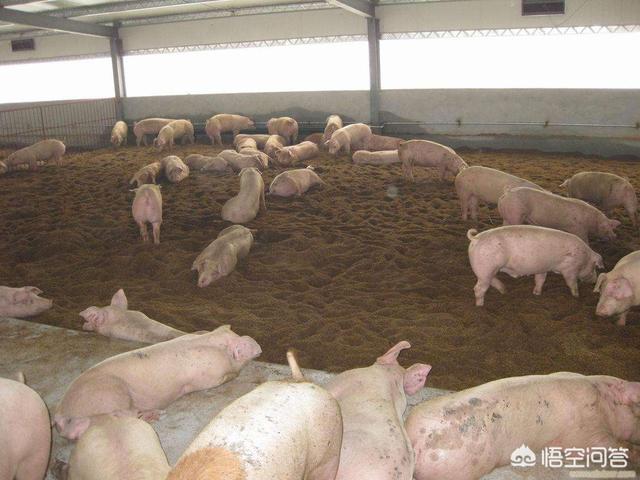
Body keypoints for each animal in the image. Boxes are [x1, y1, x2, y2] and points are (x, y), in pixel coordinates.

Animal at [53, 325, 262, 440]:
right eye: (243, 347)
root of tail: (60, 412)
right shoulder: (208, 377)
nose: (259, 348)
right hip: (111, 393)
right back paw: (156, 415)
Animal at [467, 226, 604, 306]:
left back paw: (504, 291)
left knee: (491, 281)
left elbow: (540, 280)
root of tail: (475, 238)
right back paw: (480, 306)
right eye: (594, 267)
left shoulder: (542, 268)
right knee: (478, 288)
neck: (584, 258)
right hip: (486, 268)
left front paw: (536, 294)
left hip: (487, 270)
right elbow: (572, 283)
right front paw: (577, 297)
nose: (594, 281)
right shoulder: (570, 269)